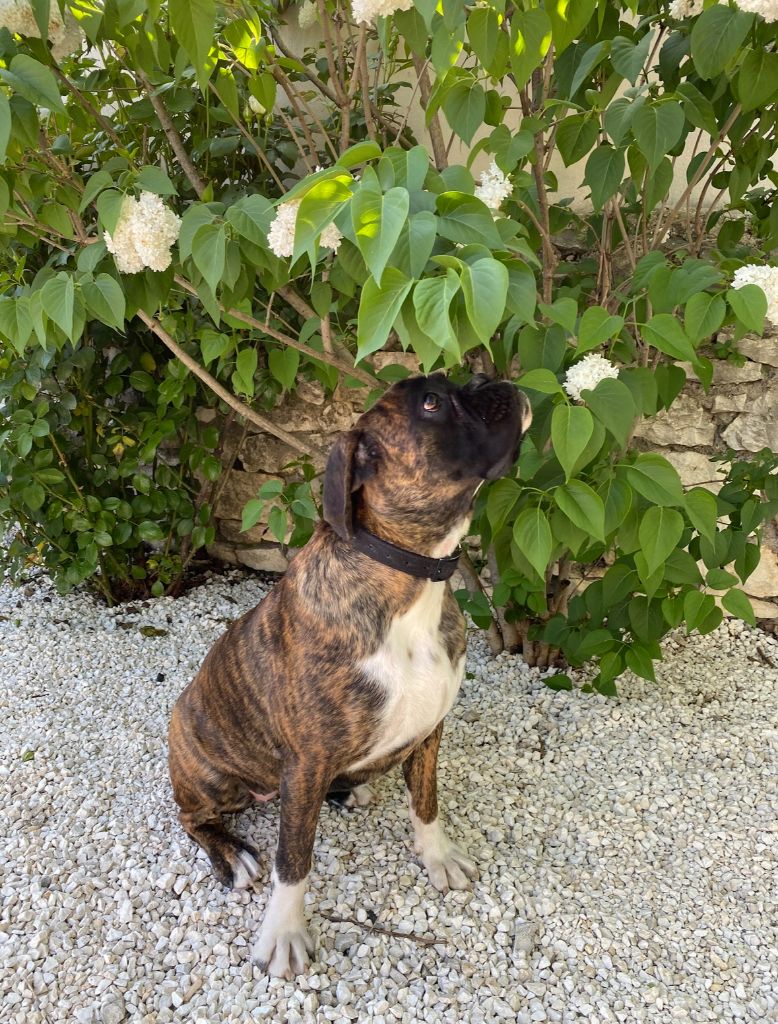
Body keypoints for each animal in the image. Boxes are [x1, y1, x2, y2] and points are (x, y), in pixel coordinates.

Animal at [168, 372, 531, 978]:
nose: (491, 378)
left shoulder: (429, 732)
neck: (409, 578)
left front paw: (437, 856)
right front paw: (284, 932)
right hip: (212, 772)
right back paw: (234, 855)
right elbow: (294, 857)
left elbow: (426, 803)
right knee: (193, 817)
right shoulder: (307, 762)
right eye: (431, 404)